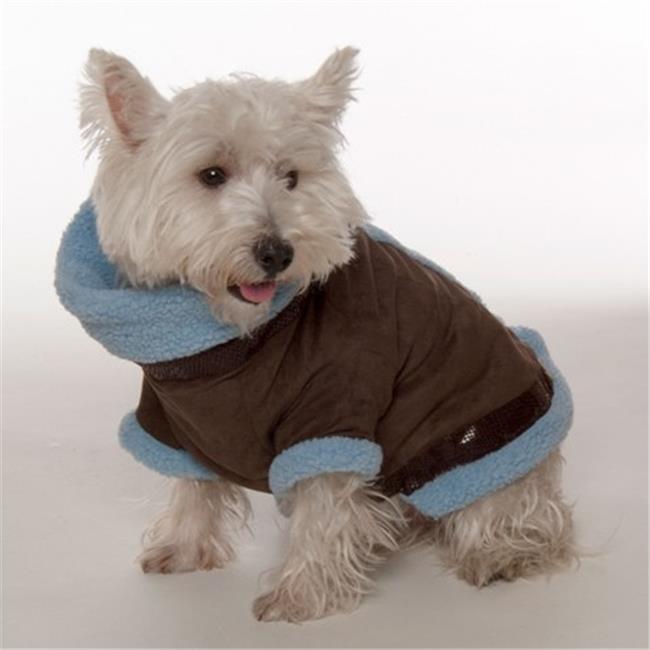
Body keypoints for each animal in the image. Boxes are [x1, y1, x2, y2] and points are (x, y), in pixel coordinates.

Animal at [61, 47, 578, 623]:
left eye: (291, 177)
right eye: (211, 174)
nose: (277, 252)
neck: (232, 338)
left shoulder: (333, 410)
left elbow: (324, 506)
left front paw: (302, 592)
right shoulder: (173, 419)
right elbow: (193, 484)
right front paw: (184, 547)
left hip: (474, 441)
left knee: (515, 510)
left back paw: (503, 551)